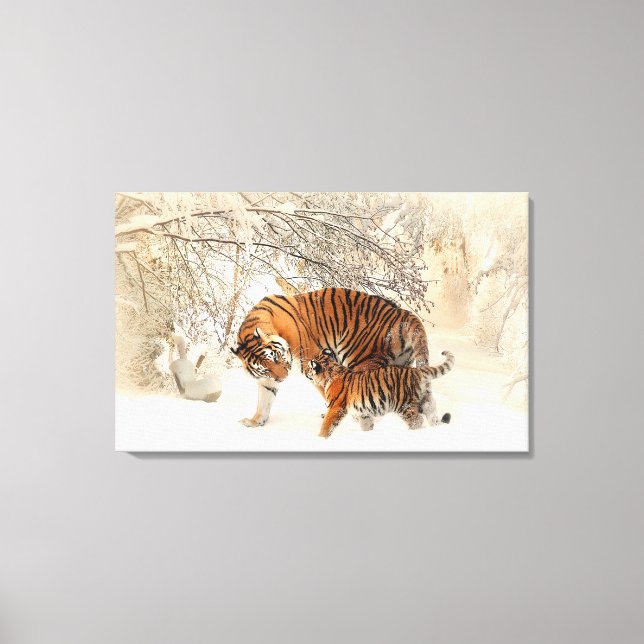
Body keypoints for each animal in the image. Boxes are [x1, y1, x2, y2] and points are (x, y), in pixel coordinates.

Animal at [230, 288, 430, 427]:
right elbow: (264, 399)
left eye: (277, 357)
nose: (284, 378)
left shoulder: (312, 361)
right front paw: (255, 422)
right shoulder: (267, 379)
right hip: (400, 365)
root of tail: (403, 313)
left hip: (361, 359)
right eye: (265, 368)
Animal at [305, 349, 454, 438]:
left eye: (309, 368)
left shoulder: (335, 408)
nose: (306, 373)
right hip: (426, 401)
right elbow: (366, 425)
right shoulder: (363, 413)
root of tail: (416, 371)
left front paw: (320, 438)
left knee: (417, 421)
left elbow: (327, 425)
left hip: (403, 405)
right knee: (432, 417)